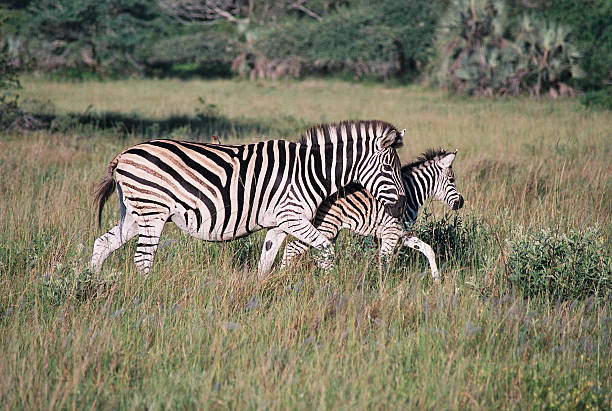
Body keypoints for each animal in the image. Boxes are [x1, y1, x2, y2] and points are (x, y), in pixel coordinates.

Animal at [89, 120, 406, 278]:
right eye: (388, 168)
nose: (401, 206)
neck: (311, 171)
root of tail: (124, 153)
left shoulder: (279, 223)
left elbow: (266, 262)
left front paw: (263, 293)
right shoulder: (293, 217)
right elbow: (326, 247)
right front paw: (331, 284)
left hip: (134, 213)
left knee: (103, 243)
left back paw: (92, 283)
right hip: (152, 211)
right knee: (143, 258)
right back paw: (148, 290)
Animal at [282, 150, 464, 282]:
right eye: (451, 180)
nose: (461, 202)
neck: (411, 194)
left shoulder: (403, 233)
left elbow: (428, 249)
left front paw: (436, 279)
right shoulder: (391, 233)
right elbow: (384, 262)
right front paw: (382, 287)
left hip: (330, 230)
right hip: (326, 227)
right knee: (292, 248)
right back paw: (284, 276)